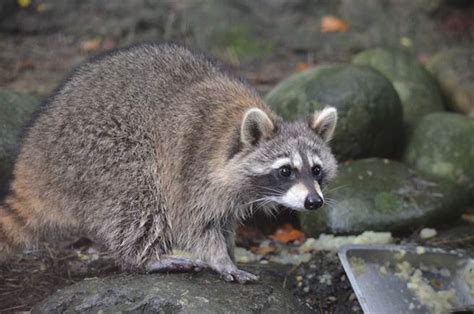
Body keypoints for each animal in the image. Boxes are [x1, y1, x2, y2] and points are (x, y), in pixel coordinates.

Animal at [0, 43, 336, 282]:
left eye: (317, 170)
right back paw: (147, 258)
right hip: (92, 151)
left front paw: (229, 249)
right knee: (136, 195)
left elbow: (223, 221)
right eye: (285, 171)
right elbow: (193, 222)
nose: (314, 202)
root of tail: (31, 159)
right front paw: (219, 259)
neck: (233, 136)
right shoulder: (192, 166)